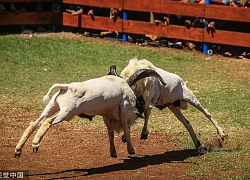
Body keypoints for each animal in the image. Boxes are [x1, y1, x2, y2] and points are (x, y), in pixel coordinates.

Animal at [14, 68, 165, 158]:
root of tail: (66, 87)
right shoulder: (124, 108)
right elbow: (126, 130)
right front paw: (131, 150)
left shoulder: (106, 115)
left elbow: (110, 133)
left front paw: (113, 153)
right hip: (66, 113)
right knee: (47, 122)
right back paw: (35, 144)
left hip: (52, 106)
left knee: (34, 123)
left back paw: (18, 150)